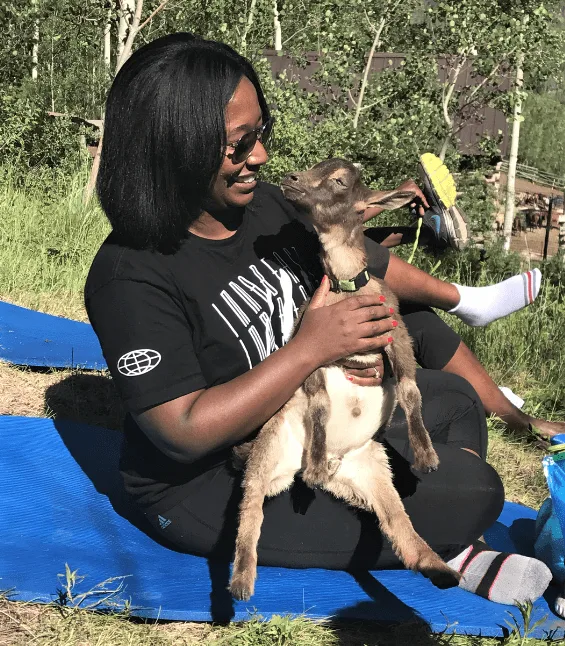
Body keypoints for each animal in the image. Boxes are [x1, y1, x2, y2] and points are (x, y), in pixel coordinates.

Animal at [227, 158, 460, 604]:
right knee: (251, 506)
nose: (291, 180)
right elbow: (320, 402)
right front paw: (316, 462)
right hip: (271, 444)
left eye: (338, 180)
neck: (349, 289)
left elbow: (409, 390)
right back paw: (242, 580)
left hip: (374, 470)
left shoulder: (395, 332)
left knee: (397, 523)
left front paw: (426, 456)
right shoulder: (313, 347)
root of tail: (341, 465)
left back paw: (441, 570)